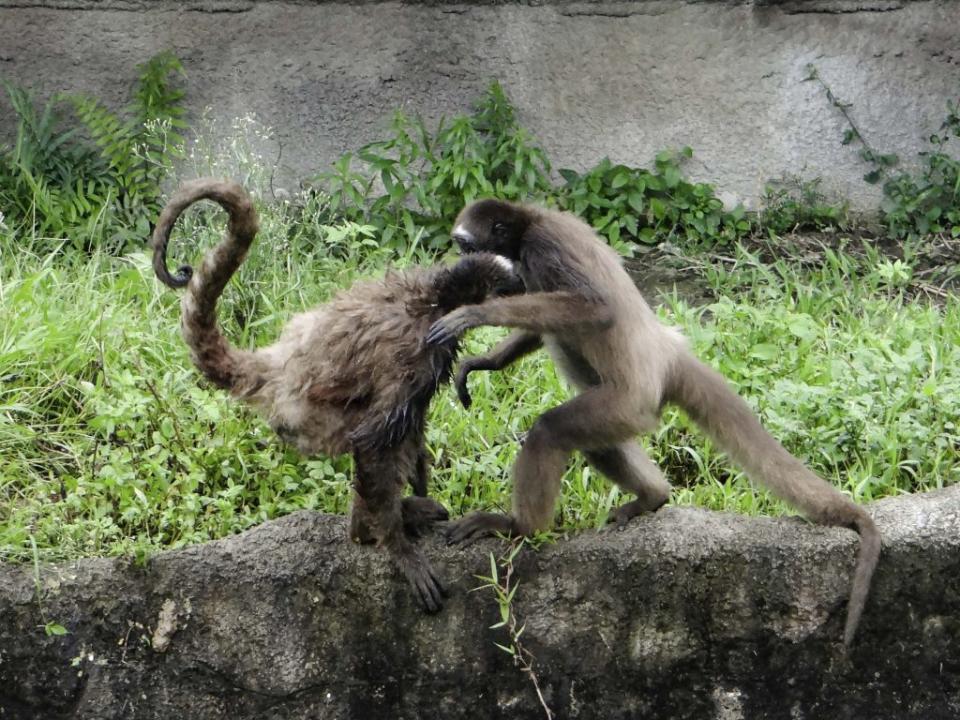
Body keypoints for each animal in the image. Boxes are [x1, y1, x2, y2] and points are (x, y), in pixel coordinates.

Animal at [152, 177, 524, 612]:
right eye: (510, 286)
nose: (524, 289)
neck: (434, 294)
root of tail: (277, 367)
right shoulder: (418, 349)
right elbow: (373, 439)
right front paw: (397, 548)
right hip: (308, 418)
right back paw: (365, 529)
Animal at [432, 198, 880, 648]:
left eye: (466, 245)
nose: (459, 259)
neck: (532, 221)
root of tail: (665, 354)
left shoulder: (544, 245)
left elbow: (596, 308)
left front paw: (477, 312)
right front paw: (483, 361)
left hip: (629, 404)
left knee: (549, 430)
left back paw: (519, 527)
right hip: (619, 408)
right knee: (593, 436)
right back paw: (653, 496)